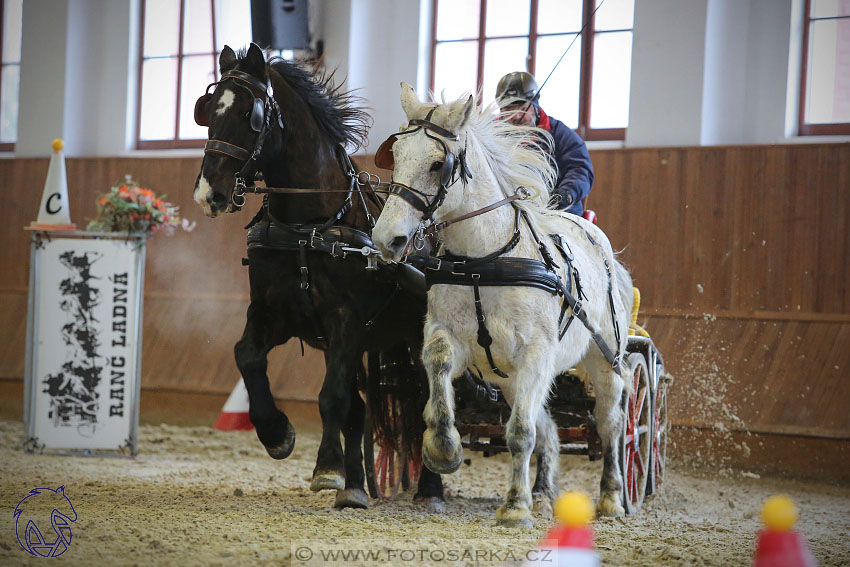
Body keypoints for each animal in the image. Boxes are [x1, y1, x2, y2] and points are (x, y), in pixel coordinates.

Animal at [192, 42, 444, 508]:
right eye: (209, 111)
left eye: (250, 114)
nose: (209, 194)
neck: (308, 227)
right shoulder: (273, 314)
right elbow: (247, 356)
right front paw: (277, 434)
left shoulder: (345, 322)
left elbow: (331, 398)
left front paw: (326, 468)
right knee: (360, 410)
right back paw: (357, 487)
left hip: (417, 339)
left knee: (426, 405)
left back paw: (430, 489)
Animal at [372, 84, 636, 528]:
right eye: (397, 155)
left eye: (438, 164)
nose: (386, 238)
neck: (485, 260)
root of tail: (604, 249)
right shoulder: (449, 336)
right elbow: (439, 369)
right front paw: (443, 448)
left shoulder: (536, 354)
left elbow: (520, 433)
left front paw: (514, 507)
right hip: (512, 379)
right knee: (548, 427)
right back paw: (544, 493)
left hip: (604, 360)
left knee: (610, 424)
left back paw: (611, 497)